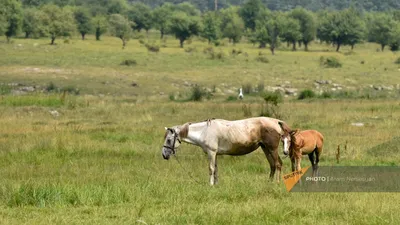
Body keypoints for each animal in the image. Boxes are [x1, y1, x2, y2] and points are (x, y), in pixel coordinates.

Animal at [162, 117, 290, 185]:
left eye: (168, 140)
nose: (164, 154)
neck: (204, 131)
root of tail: (276, 121)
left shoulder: (211, 153)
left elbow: (211, 169)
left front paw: (211, 185)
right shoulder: (215, 154)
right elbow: (216, 169)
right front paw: (216, 184)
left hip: (272, 149)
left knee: (278, 164)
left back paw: (277, 183)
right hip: (265, 149)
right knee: (272, 165)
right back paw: (269, 183)